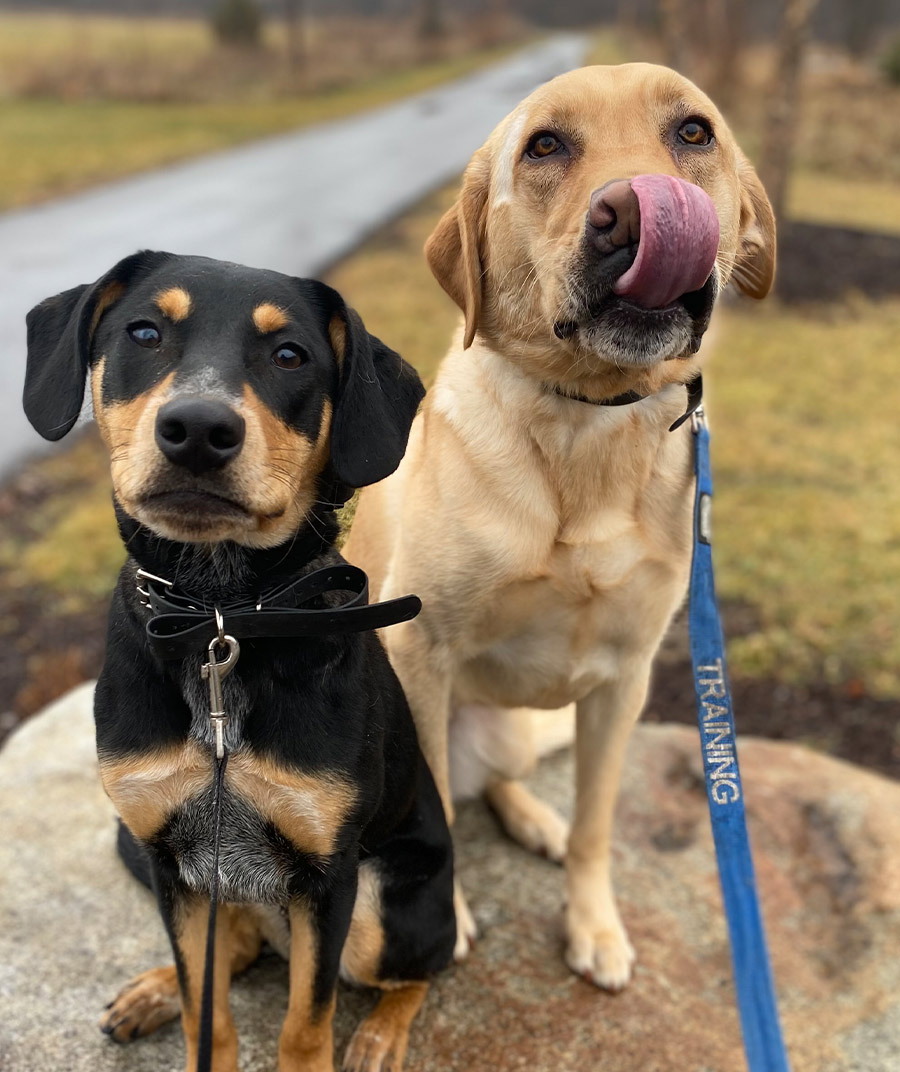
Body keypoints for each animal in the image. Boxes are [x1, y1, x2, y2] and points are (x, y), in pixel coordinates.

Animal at [23, 252, 454, 1072]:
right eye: (144, 332)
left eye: (290, 355)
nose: (198, 428)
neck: (220, 616)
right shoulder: (173, 858)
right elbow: (207, 1005)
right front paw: (183, 1003)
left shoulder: (327, 875)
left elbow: (305, 1023)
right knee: (239, 950)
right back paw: (154, 990)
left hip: (384, 903)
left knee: (423, 968)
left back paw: (381, 1036)